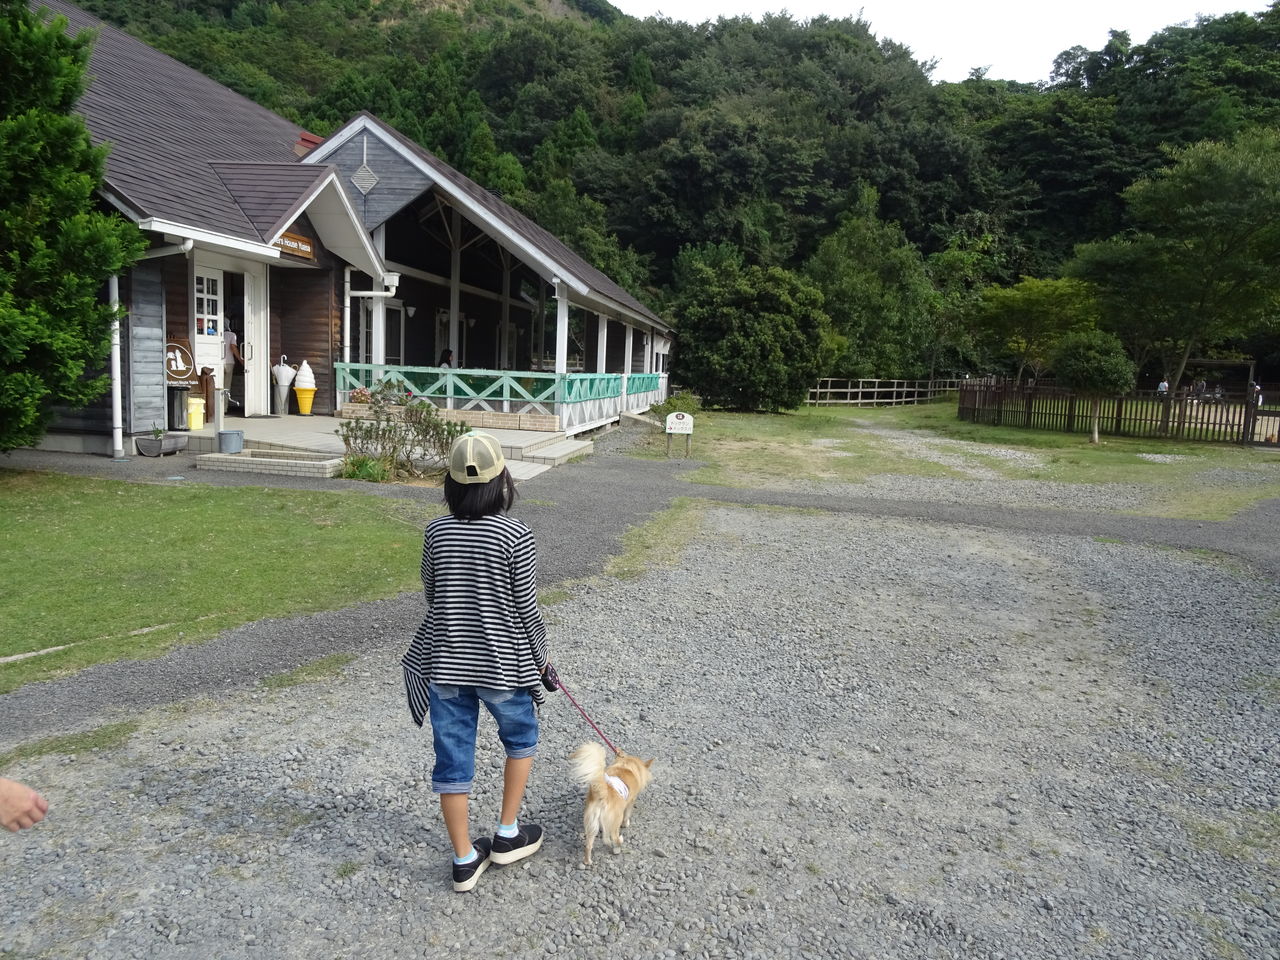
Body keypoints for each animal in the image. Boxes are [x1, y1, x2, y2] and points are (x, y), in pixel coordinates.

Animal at [568, 742, 650, 870]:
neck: (626, 764)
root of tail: (603, 794)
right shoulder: (630, 801)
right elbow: (627, 815)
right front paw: (626, 824)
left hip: (592, 823)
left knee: (591, 845)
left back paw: (588, 861)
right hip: (615, 821)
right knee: (611, 838)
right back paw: (618, 844)